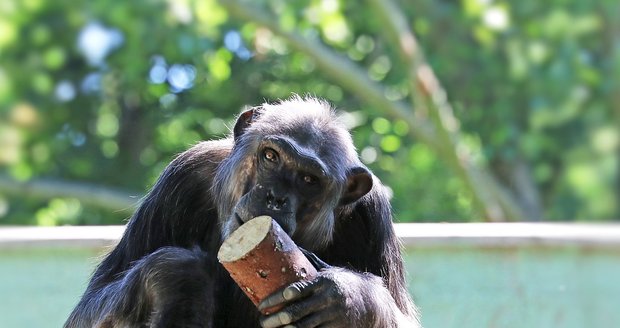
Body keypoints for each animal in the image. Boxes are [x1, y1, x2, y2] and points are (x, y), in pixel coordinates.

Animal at [64, 96, 422, 326]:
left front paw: (344, 298)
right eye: (271, 156)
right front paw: (179, 275)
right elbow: (88, 306)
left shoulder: (372, 214)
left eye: (309, 179)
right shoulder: (181, 177)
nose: (276, 197)